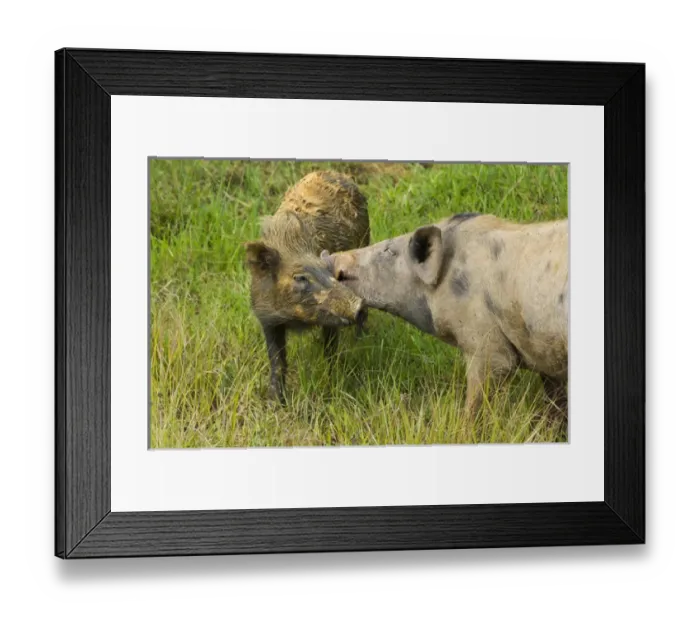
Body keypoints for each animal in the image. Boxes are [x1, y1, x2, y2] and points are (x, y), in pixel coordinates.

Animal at [244, 171, 370, 402]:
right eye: (300, 277)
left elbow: (330, 350)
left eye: (328, 269)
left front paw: (332, 383)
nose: (358, 306)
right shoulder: (267, 319)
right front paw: (274, 403)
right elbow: (277, 361)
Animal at [326, 212, 568, 420]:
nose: (332, 258)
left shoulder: (484, 339)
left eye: (388, 251)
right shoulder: (544, 351)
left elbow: (478, 400)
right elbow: (556, 401)